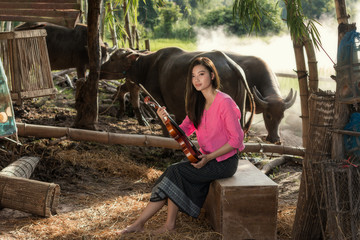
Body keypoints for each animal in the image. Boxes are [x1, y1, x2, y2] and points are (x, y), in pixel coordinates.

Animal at [99, 47, 296, 143]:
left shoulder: (161, 100)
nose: (99, 69)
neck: (148, 65)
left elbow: (166, 127)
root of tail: (232, 65)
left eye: (113, 58)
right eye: (269, 116)